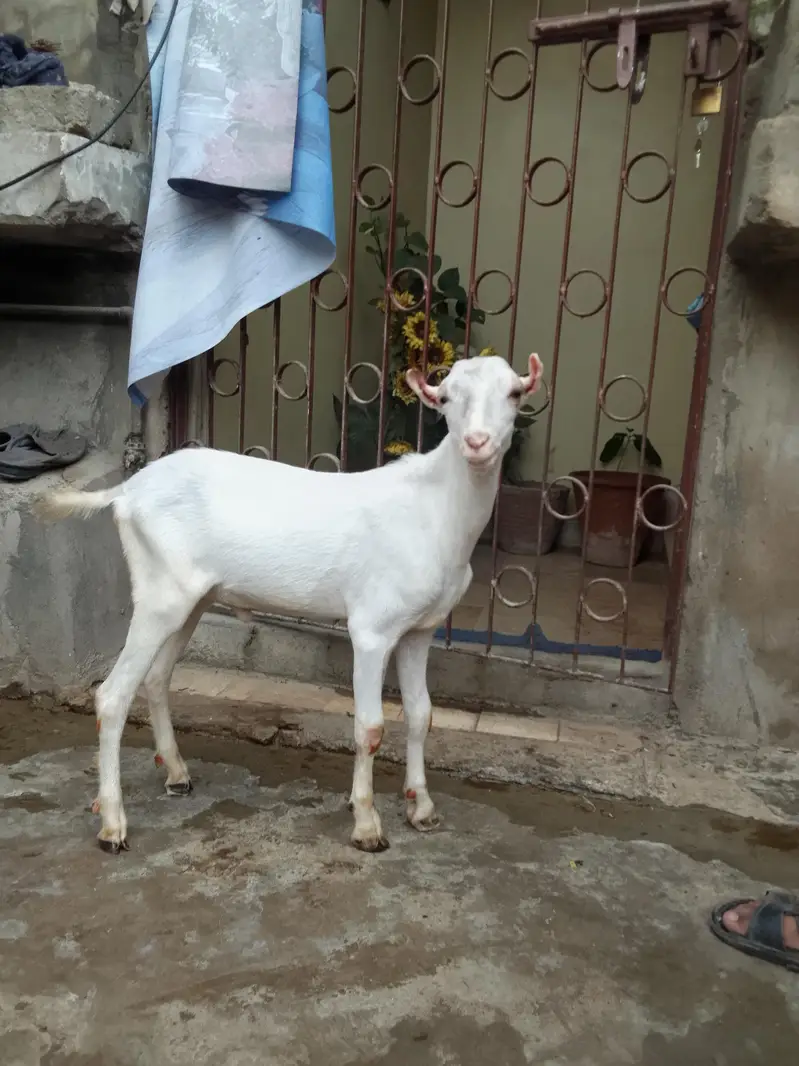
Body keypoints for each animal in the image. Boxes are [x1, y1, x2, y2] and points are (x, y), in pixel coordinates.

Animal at [37, 353, 544, 854]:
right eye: (447, 398)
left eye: (514, 393)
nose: (477, 442)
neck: (436, 510)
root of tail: (127, 491)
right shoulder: (373, 629)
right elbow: (370, 727)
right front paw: (367, 824)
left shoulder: (420, 629)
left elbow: (421, 716)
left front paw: (422, 809)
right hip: (160, 591)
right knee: (112, 696)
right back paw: (113, 825)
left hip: (191, 597)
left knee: (157, 677)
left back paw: (177, 774)